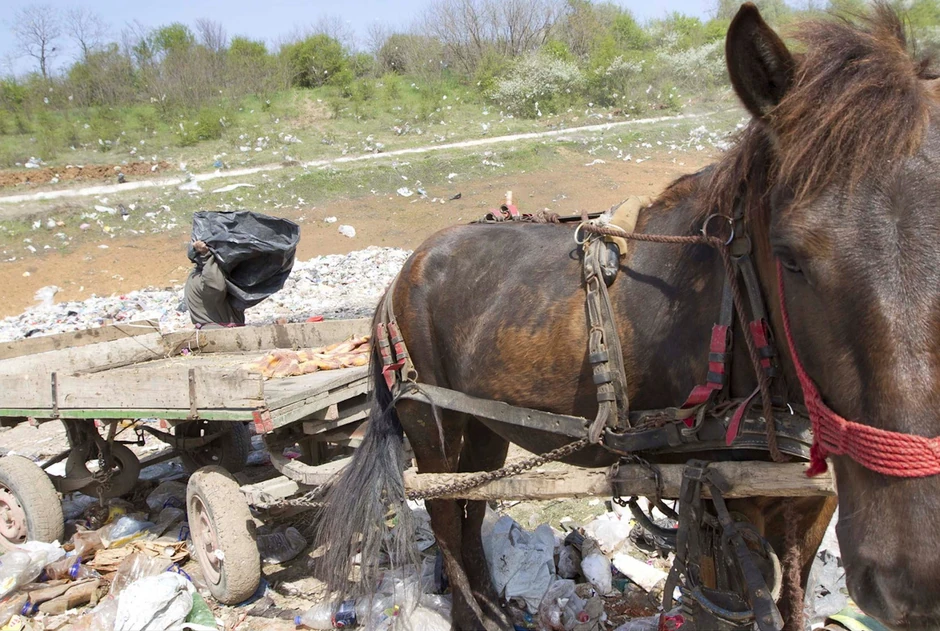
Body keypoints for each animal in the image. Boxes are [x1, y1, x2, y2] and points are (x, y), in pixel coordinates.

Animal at [315, 3, 940, 630]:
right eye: (789, 256)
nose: (912, 582)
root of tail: (402, 274)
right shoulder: (716, 500)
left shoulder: (817, 501)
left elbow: (790, 603)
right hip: (432, 425)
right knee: (447, 513)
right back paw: (472, 612)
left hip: (486, 428)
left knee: (472, 505)